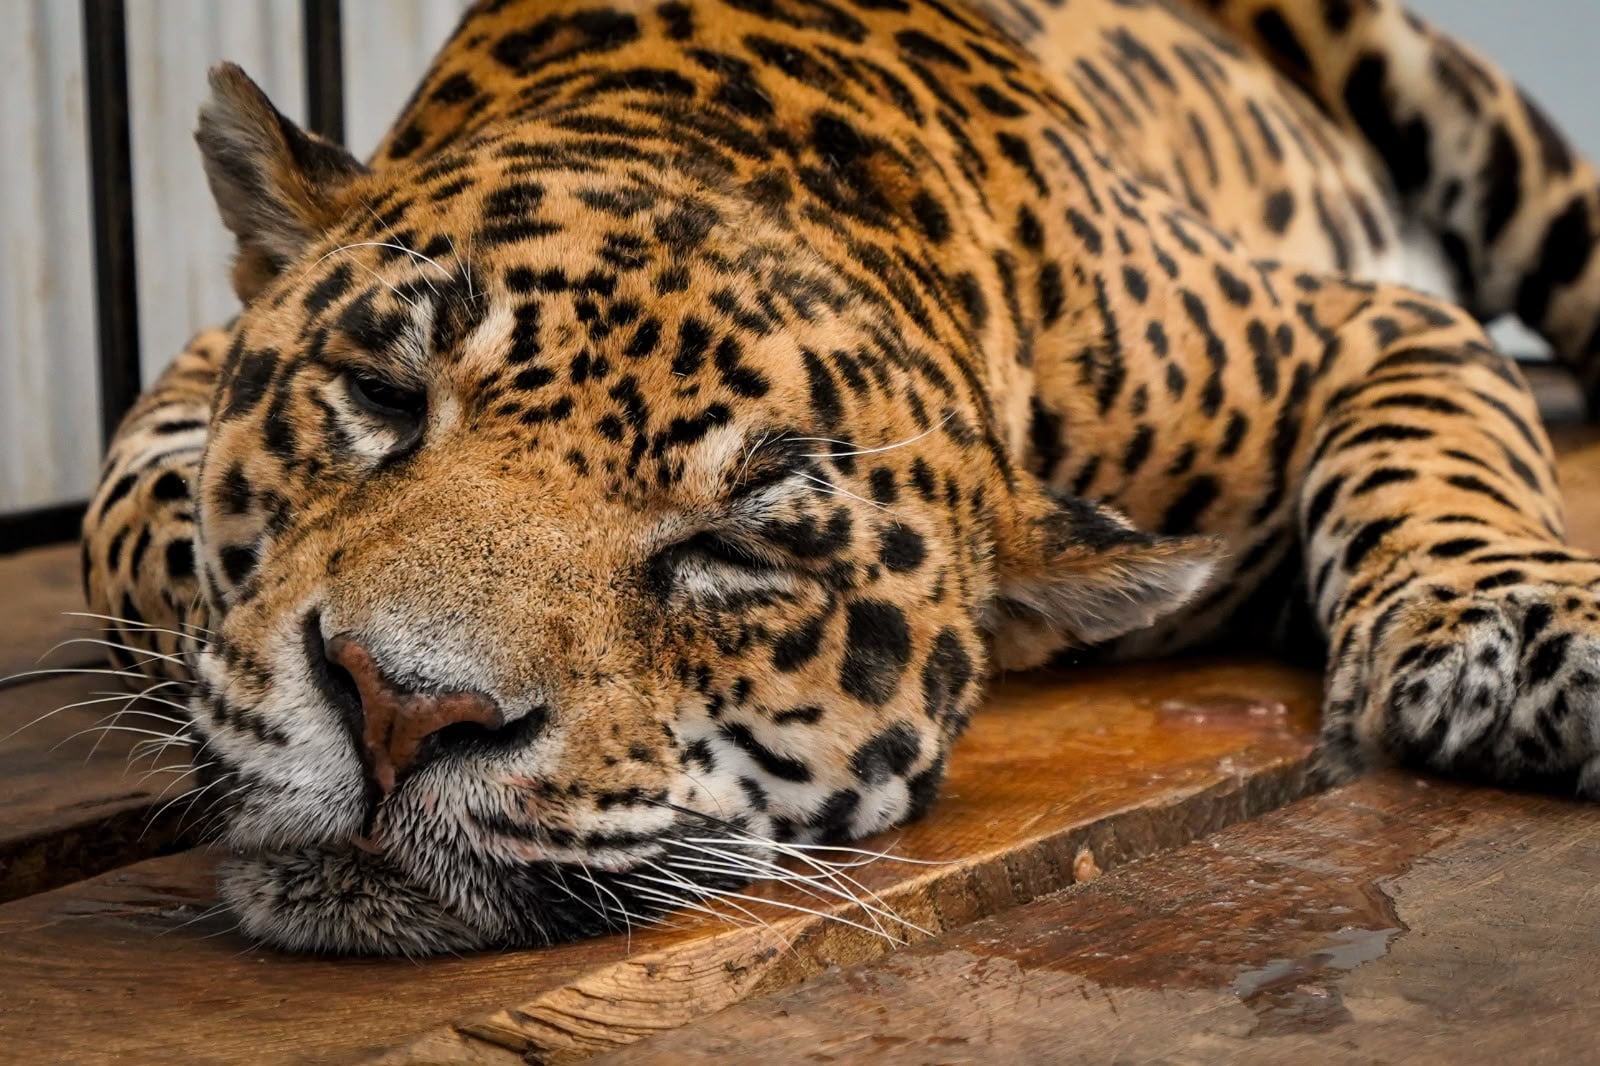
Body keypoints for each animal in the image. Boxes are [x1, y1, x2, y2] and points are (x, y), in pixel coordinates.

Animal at [77, 0, 1600, 955]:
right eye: (385, 400)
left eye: (732, 553)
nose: (400, 708)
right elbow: (133, 523)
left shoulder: (1360, 323)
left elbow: (1438, 458)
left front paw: (1515, 634)